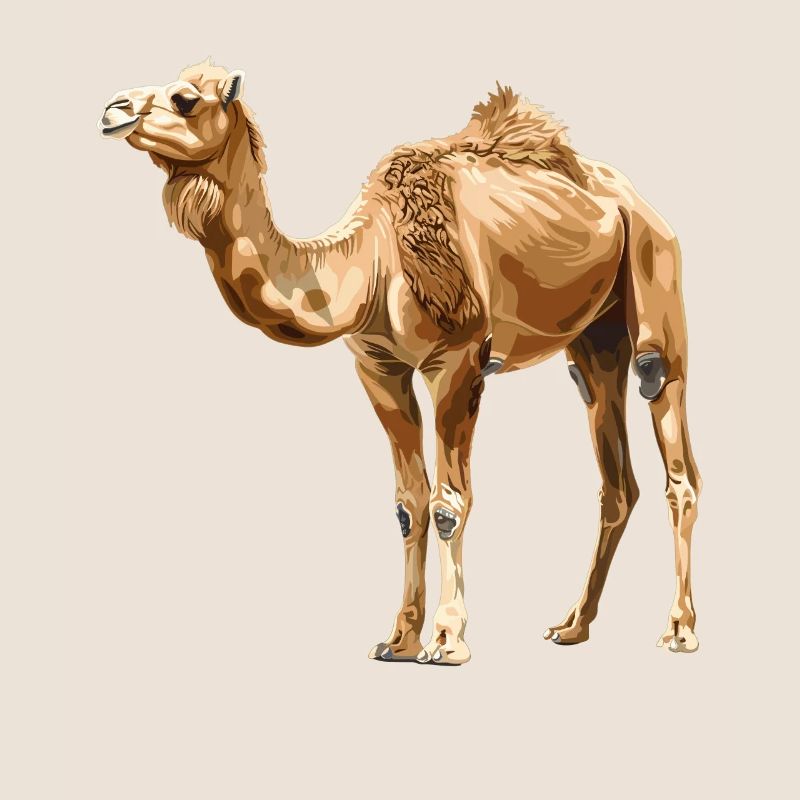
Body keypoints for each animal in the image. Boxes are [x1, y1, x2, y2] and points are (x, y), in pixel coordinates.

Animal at [98, 60, 702, 663]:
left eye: (184, 99)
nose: (112, 109)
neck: (371, 261)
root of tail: (632, 198)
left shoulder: (458, 361)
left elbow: (448, 503)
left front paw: (448, 639)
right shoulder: (378, 368)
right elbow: (408, 505)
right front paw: (398, 639)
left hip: (654, 273)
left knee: (671, 436)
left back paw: (678, 629)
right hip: (593, 340)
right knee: (613, 471)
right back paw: (572, 625)